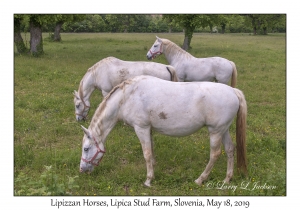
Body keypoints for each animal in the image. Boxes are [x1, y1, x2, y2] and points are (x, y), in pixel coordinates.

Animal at [78, 75, 247, 187]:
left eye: (86, 148)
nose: (82, 169)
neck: (127, 97)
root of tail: (233, 91)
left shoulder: (141, 128)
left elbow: (146, 154)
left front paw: (148, 180)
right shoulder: (149, 130)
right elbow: (151, 151)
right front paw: (153, 171)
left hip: (215, 132)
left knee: (215, 154)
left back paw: (200, 179)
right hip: (223, 130)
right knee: (230, 149)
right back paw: (227, 179)